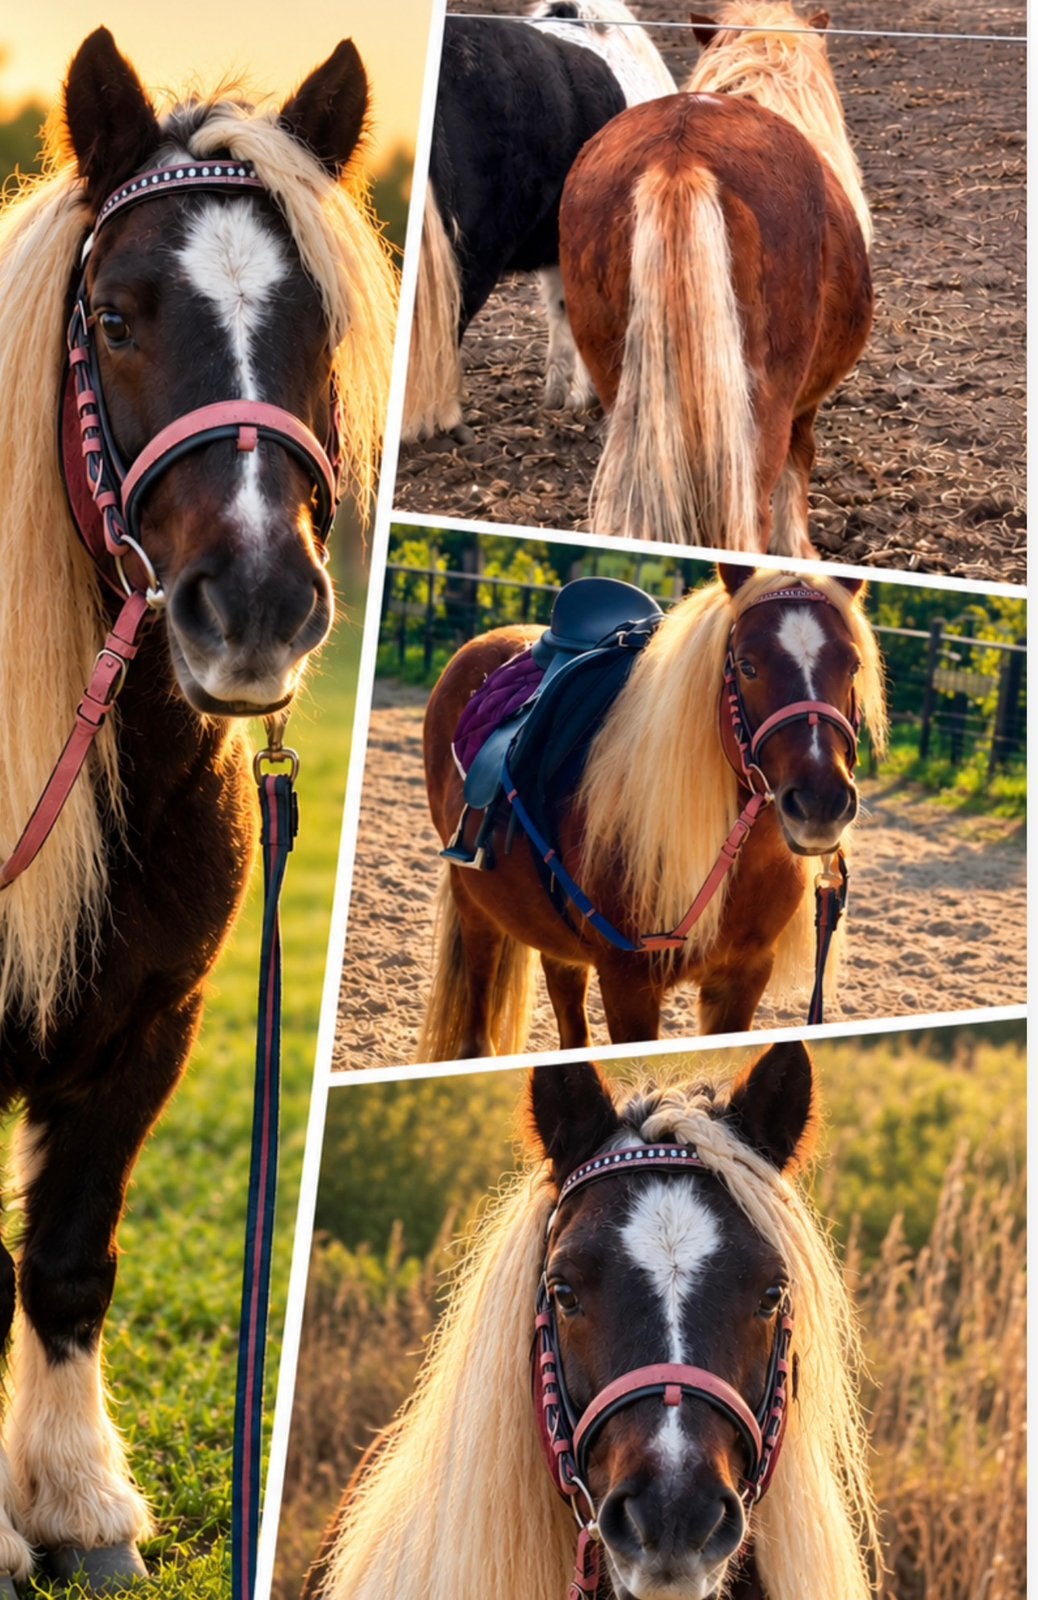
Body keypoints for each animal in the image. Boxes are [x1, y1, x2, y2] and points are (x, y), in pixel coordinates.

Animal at [0, 30, 395, 1591]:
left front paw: (76, 1506)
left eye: (321, 328)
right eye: (113, 315)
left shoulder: (147, 1031)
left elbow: (67, 1260)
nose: (261, 606)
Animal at [420, 566, 886, 1062]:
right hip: (474, 903)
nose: (820, 803)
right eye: (747, 666)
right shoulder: (628, 981)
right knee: (477, 1017)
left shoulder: (744, 974)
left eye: (853, 665)